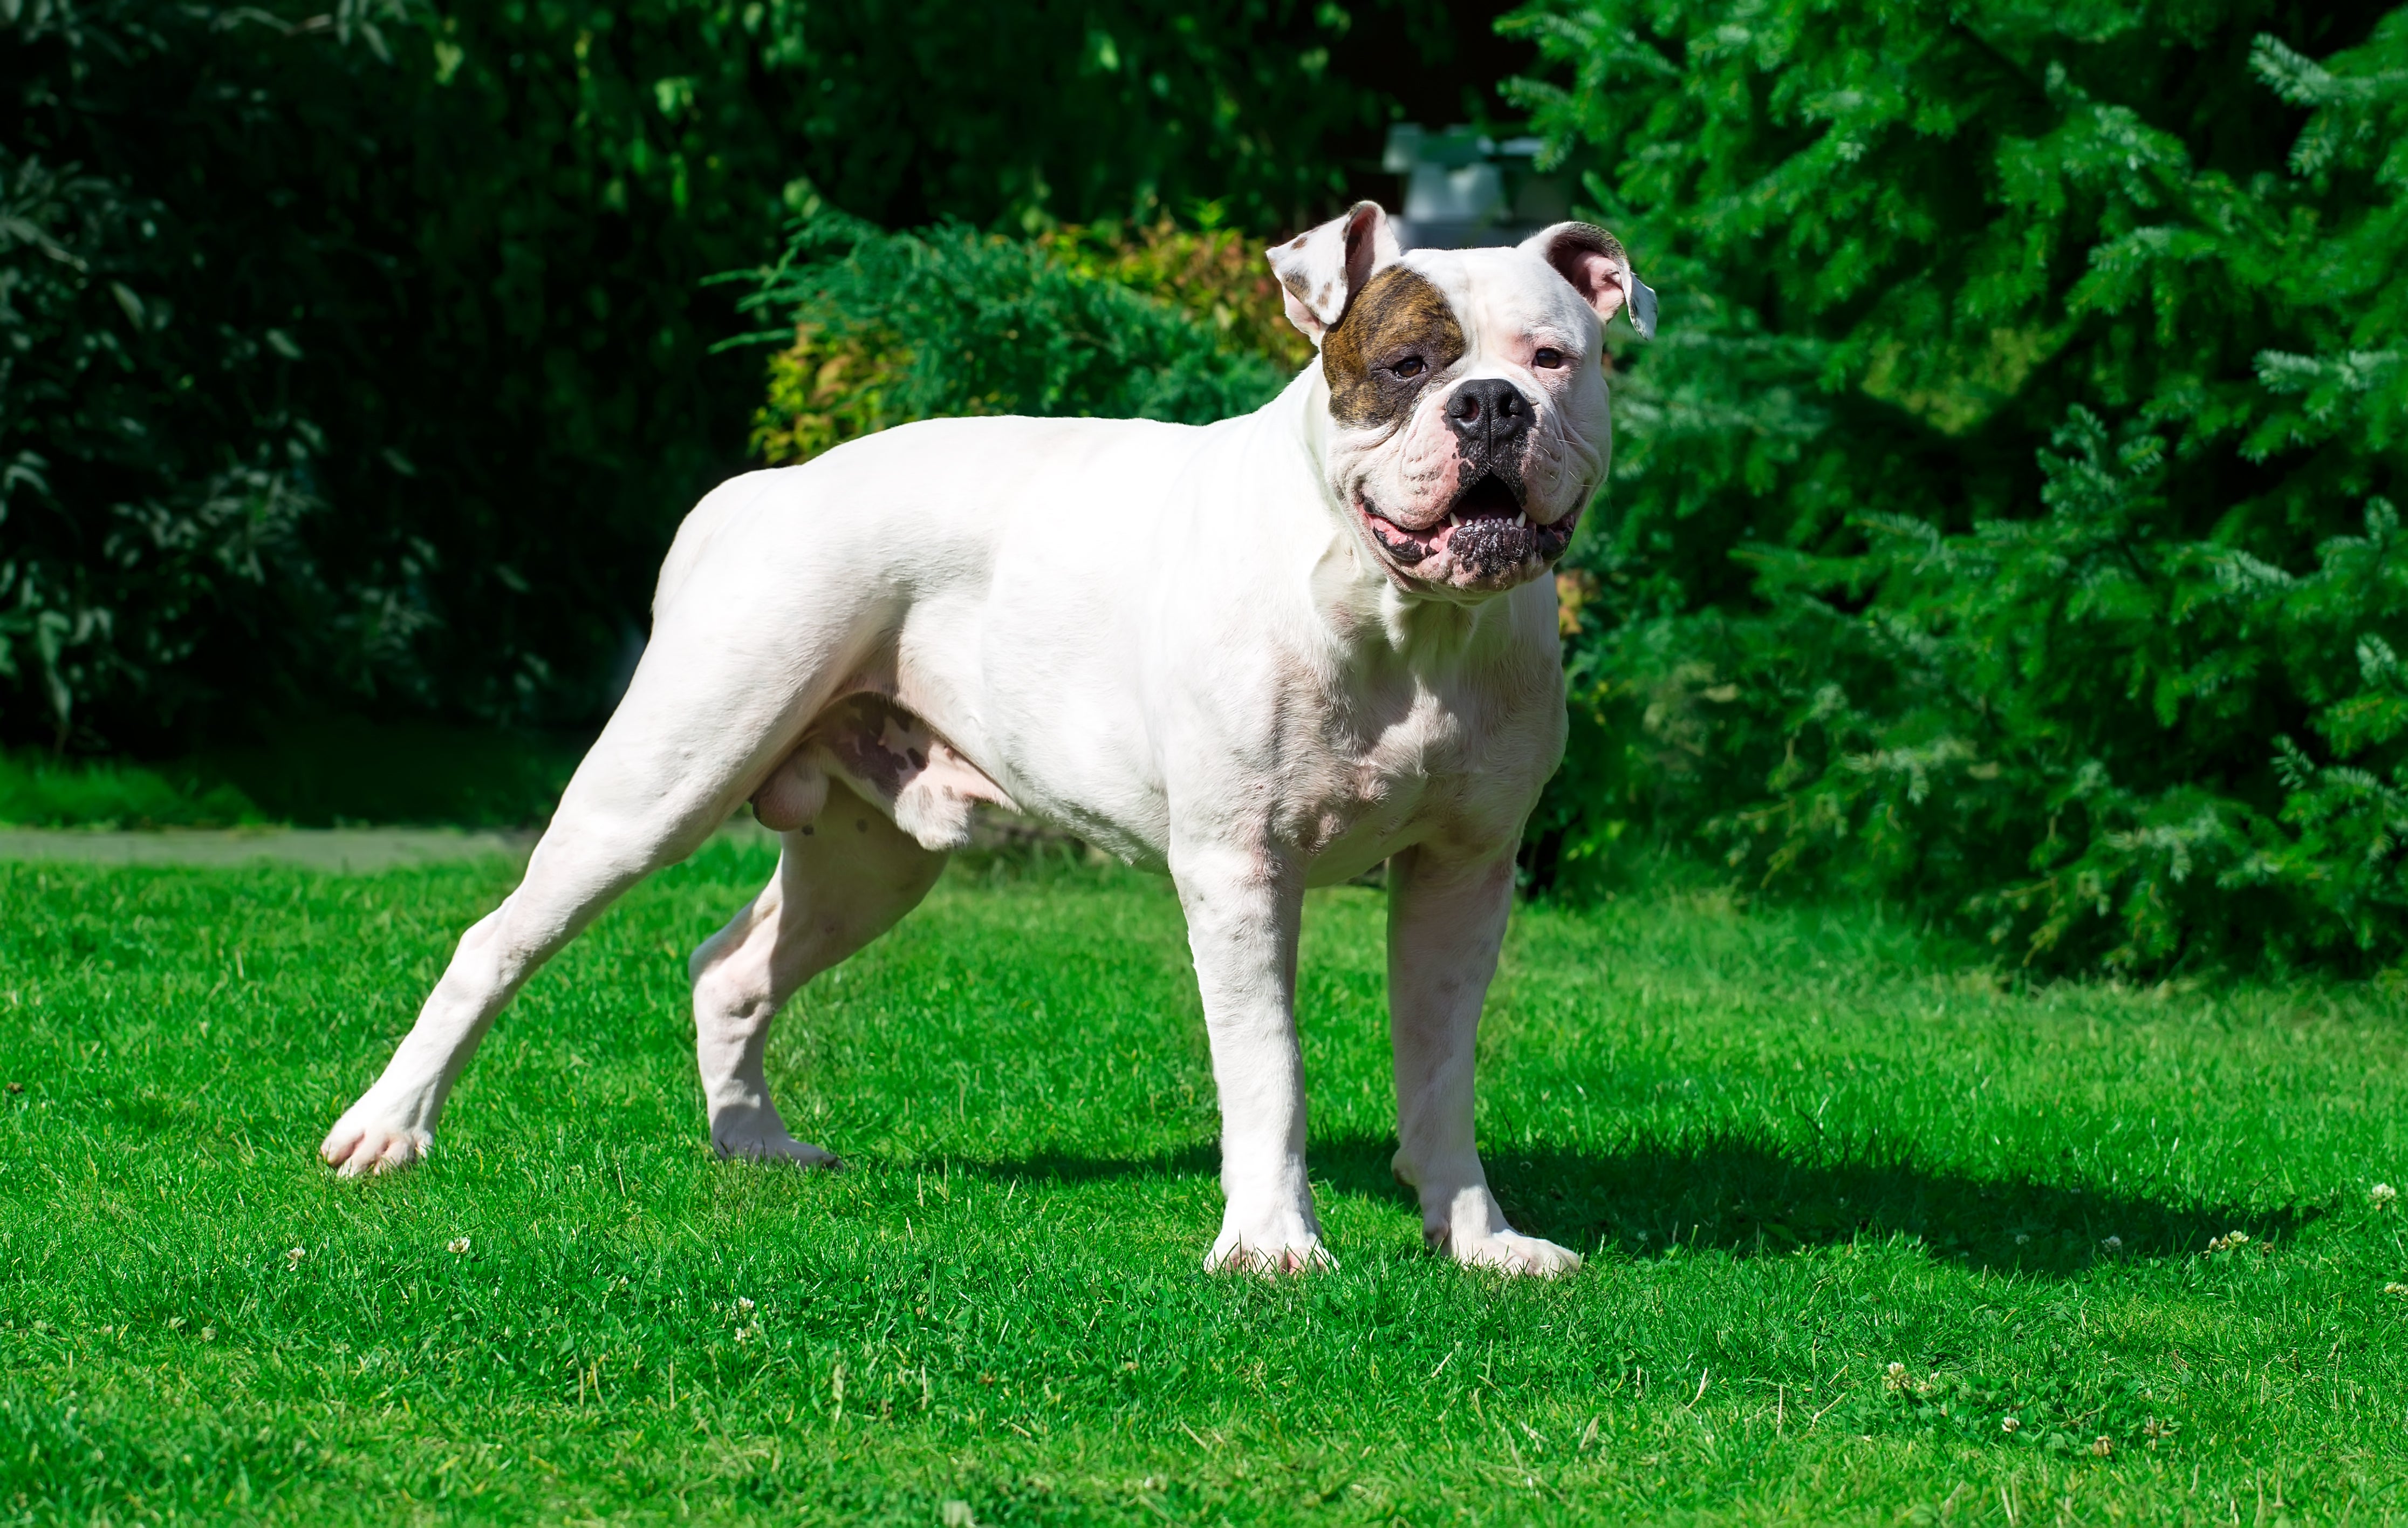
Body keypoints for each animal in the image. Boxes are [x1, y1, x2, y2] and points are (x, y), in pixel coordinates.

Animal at [325, 202, 1657, 1272]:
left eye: (1554, 358)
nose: (1491, 405)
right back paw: (389, 1127)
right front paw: (1273, 1244)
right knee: (497, 940)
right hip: (660, 785)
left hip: (870, 859)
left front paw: (1476, 1237)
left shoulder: (1462, 879)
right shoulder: (1240, 871)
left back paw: (753, 1141)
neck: (1407, 620)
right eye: (1405, 363)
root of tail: (768, 487)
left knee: (732, 967)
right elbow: (1267, 1067)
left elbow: (1440, 1072)